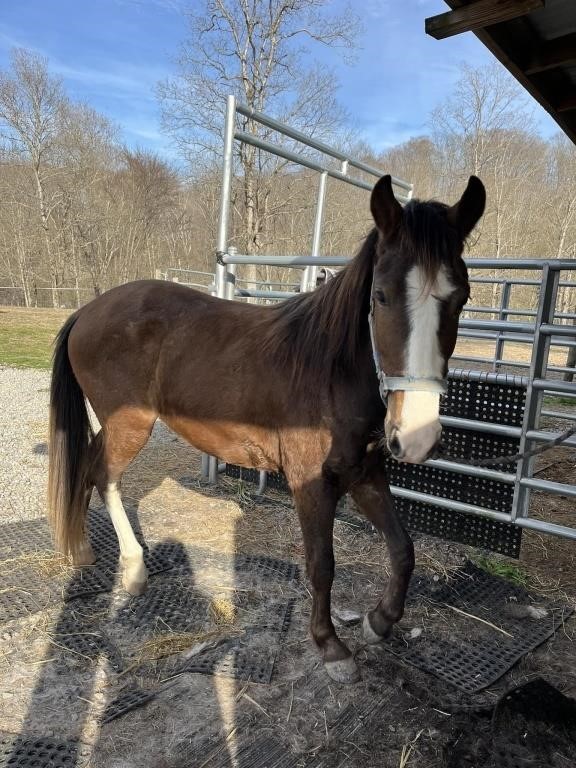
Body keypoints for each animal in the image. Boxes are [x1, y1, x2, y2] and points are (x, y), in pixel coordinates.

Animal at [47, 176, 484, 684]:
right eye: (381, 296)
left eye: (462, 298)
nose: (416, 436)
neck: (330, 373)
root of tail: (89, 309)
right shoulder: (311, 484)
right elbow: (322, 565)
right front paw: (330, 645)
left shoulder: (365, 475)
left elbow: (403, 549)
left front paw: (379, 621)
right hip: (128, 425)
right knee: (104, 475)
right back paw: (133, 567)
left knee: (87, 468)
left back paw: (82, 549)